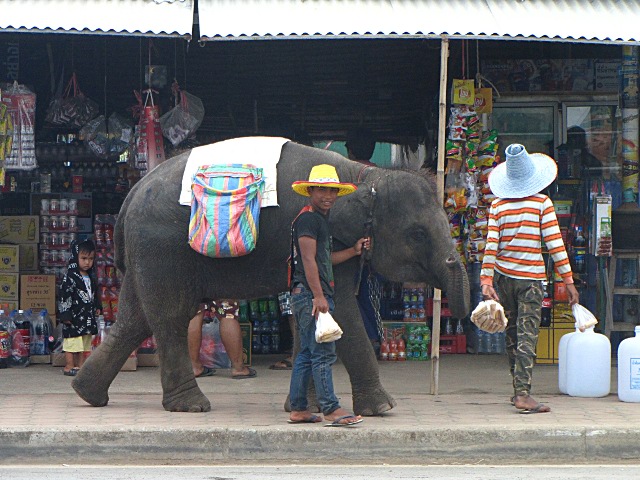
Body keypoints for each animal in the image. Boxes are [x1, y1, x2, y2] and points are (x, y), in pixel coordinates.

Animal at [71, 137, 470, 414]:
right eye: (417, 234)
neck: (364, 176)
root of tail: (132, 194)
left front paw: (305, 408)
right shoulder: (324, 233)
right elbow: (339, 308)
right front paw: (383, 409)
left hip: (146, 253)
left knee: (134, 319)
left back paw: (87, 394)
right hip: (161, 248)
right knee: (170, 316)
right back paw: (191, 406)